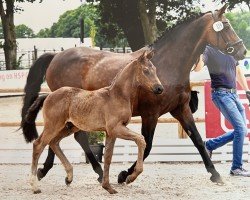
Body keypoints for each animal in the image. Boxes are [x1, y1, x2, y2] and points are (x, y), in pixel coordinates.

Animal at [24, 51, 162, 194]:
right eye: (146, 70)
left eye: (155, 69)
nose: (159, 88)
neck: (118, 95)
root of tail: (48, 95)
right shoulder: (115, 128)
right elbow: (141, 140)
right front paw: (130, 177)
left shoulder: (111, 133)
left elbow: (108, 158)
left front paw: (108, 187)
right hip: (53, 126)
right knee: (39, 145)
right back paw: (35, 186)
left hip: (68, 128)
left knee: (54, 143)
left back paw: (69, 177)